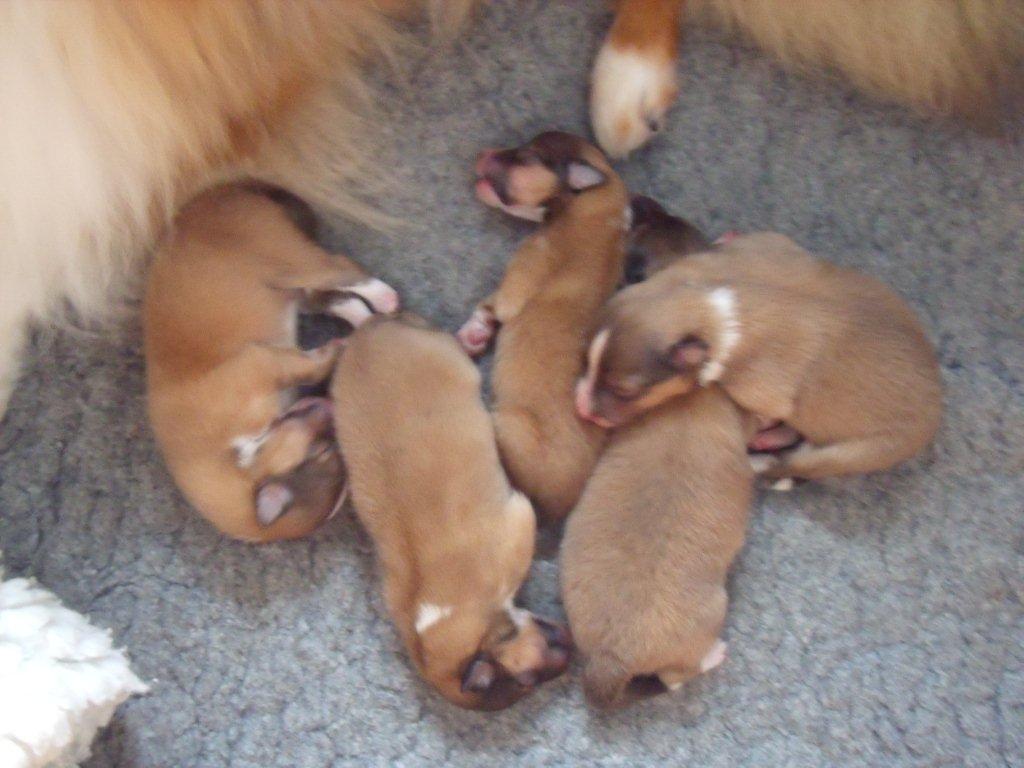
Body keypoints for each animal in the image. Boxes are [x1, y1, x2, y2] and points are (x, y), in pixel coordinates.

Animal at [144, 183, 399, 542]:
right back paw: (366, 318)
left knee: (344, 268)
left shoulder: (260, 364)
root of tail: (216, 195)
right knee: (337, 299)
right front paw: (342, 347)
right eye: (325, 452)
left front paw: (337, 351)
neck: (237, 452)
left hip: (288, 261)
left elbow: (309, 364)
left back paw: (385, 297)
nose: (330, 406)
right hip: (296, 287)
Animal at [456, 131, 631, 521]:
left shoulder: (519, 279)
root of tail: (558, 507)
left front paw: (474, 331)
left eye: (526, 156)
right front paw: (477, 335)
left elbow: (494, 304)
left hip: (507, 423)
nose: (482, 152)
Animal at [577, 232, 943, 482]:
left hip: (861, 451)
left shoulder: (764, 390)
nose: (580, 406)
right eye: (585, 361)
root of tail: (936, 408)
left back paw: (762, 454)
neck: (710, 309)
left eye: (624, 391)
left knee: (793, 463)